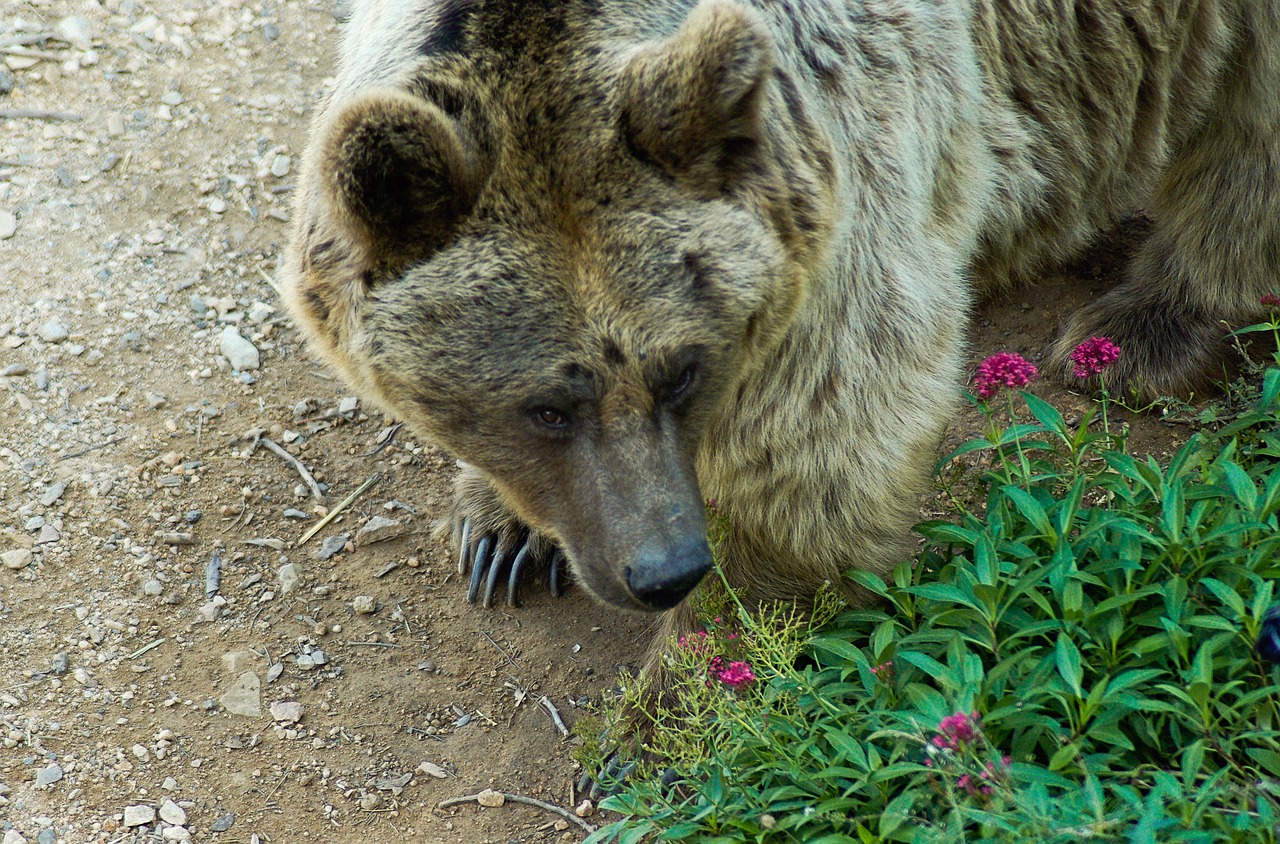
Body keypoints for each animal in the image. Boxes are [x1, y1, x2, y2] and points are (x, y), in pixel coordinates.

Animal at [280, 0, 1280, 681]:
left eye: (681, 370)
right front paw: (501, 531)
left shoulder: (844, 160)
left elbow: (822, 435)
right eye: (546, 406)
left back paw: (1152, 326)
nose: (664, 570)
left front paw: (678, 699)